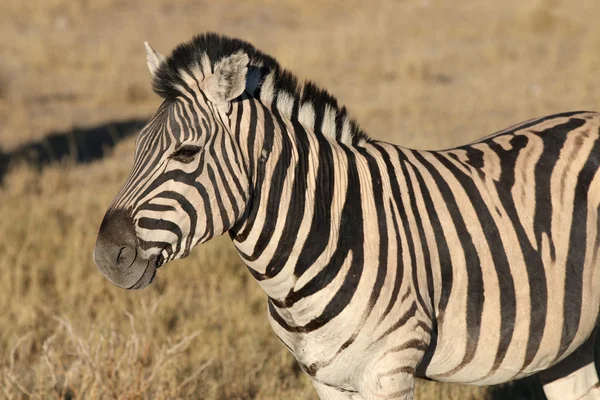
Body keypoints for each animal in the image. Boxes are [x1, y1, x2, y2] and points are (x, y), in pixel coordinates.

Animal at [92, 32, 600, 398]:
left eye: (186, 153)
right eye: (136, 147)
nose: (106, 255)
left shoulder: (389, 369)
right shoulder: (328, 378)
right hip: (571, 342)